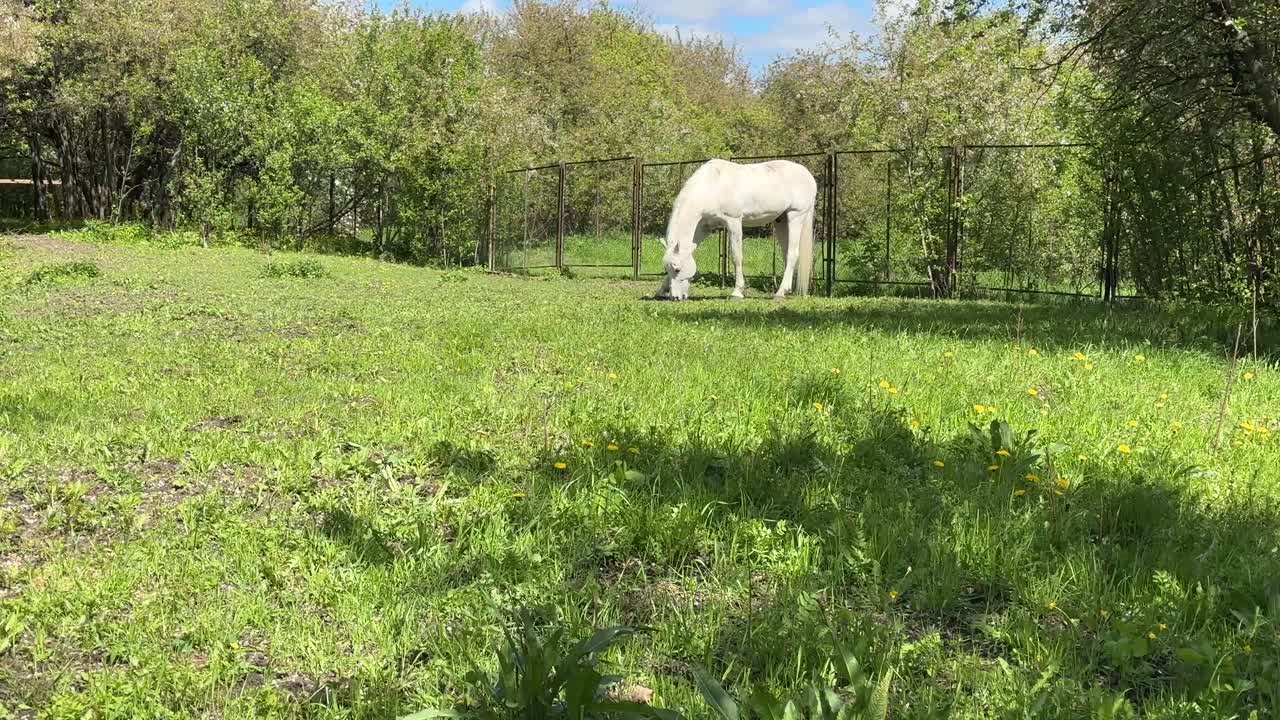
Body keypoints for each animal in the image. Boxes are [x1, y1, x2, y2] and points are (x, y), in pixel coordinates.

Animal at [654, 158, 818, 301]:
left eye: (677, 269)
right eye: (667, 269)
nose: (675, 297)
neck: (712, 185)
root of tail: (808, 176)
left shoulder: (734, 222)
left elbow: (737, 257)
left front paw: (737, 292)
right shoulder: (703, 228)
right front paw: (661, 291)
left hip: (795, 216)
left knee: (792, 254)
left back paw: (780, 292)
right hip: (781, 221)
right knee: (786, 254)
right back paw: (786, 290)